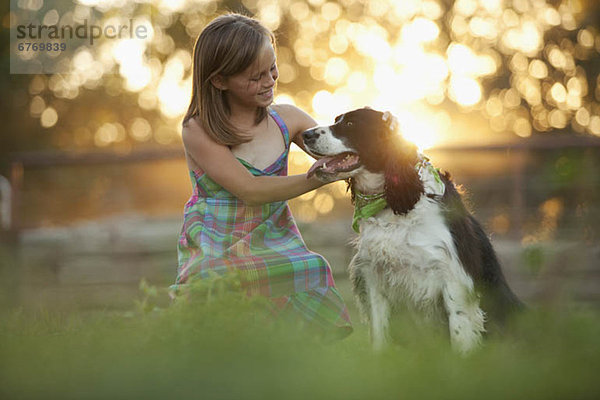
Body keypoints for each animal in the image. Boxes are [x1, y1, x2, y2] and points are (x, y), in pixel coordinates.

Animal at [302, 107, 524, 354]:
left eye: (350, 124)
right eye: (337, 120)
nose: (305, 134)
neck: (391, 205)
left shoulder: (454, 278)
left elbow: (460, 333)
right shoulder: (373, 277)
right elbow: (380, 333)